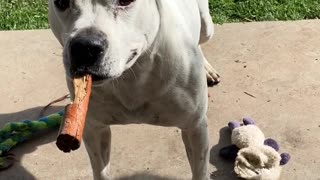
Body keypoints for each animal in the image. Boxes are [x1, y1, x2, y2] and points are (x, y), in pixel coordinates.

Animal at [48, 0, 219, 179]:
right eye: (61, 3)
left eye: (125, 1)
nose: (84, 47)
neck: (131, 76)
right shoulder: (94, 129)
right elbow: (100, 170)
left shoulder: (195, 127)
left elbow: (200, 170)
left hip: (207, 27)